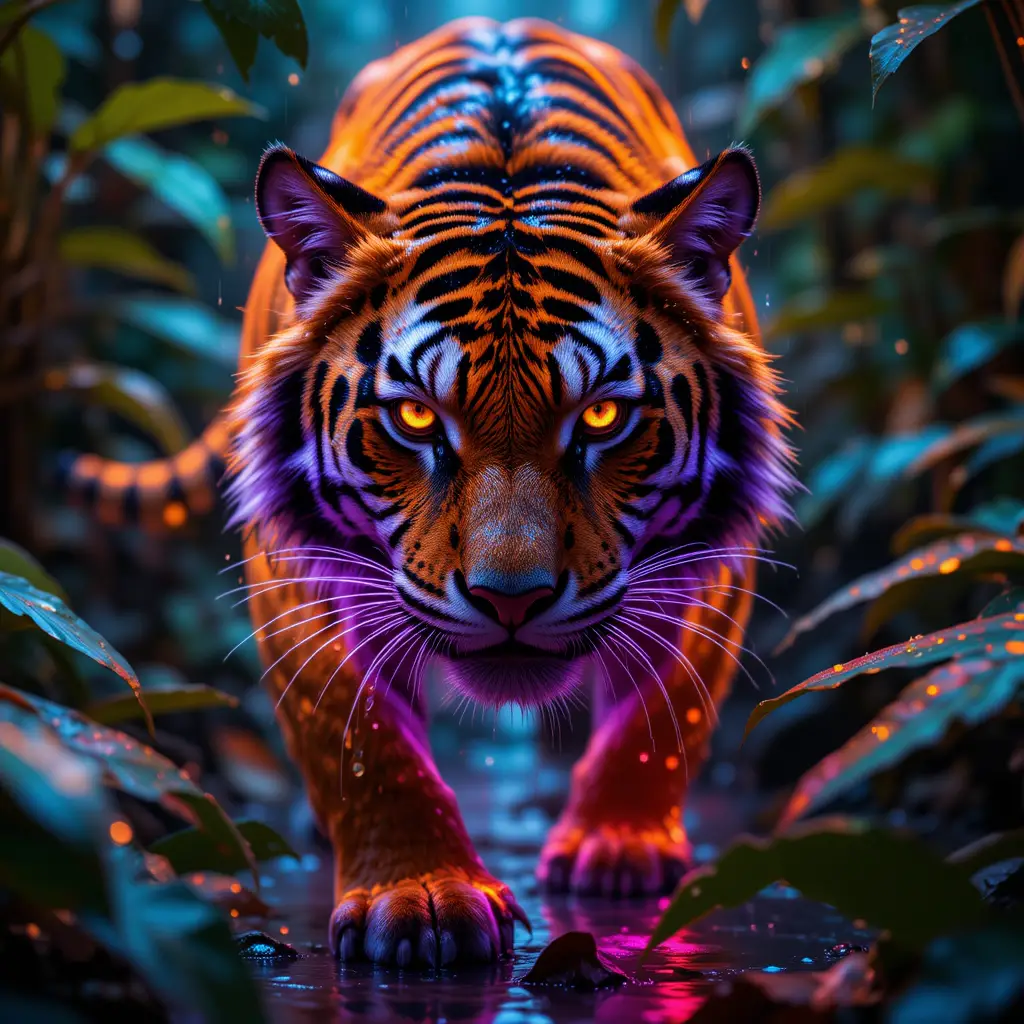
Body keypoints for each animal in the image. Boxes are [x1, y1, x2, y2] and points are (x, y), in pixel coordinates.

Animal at [69, 18, 795, 966]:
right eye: (416, 417)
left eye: (601, 416)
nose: (511, 599)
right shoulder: (295, 570)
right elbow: (365, 742)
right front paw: (418, 895)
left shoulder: (709, 556)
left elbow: (659, 713)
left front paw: (618, 846)